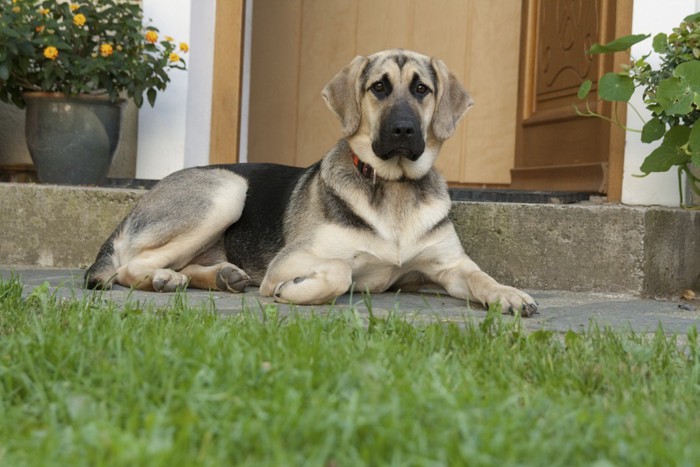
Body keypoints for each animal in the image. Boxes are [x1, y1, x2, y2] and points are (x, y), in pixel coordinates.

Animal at [85, 49, 540, 316]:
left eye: (422, 89)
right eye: (379, 88)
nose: (405, 130)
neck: (393, 187)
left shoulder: (449, 267)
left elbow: (481, 276)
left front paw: (508, 293)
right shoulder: (291, 260)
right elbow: (338, 271)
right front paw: (296, 290)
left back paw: (220, 277)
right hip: (227, 191)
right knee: (129, 265)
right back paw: (163, 280)